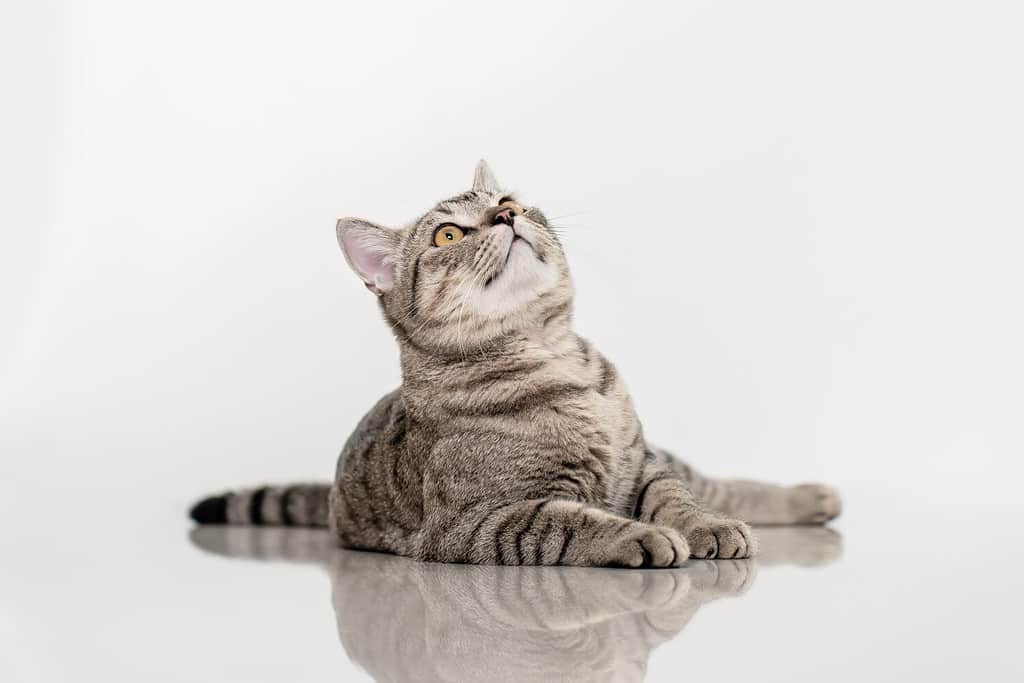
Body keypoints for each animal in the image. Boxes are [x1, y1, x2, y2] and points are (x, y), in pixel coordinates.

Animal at [190, 160, 839, 565]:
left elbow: (677, 498)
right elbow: (570, 522)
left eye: (507, 201)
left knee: (718, 485)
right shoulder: (479, 523)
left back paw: (808, 498)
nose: (507, 216)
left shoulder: (643, 466)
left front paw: (704, 527)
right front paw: (641, 537)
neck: (553, 356)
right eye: (448, 236)